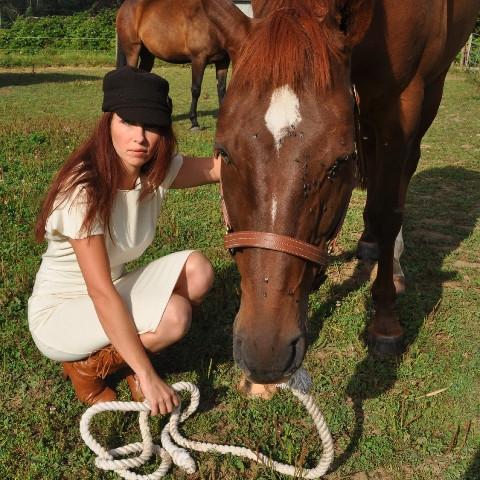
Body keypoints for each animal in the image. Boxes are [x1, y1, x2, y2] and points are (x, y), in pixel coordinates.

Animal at [116, 0, 229, 129]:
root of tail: (124, 6)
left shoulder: (223, 61)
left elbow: (221, 88)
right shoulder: (198, 59)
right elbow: (196, 89)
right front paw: (194, 122)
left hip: (148, 55)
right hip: (133, 50)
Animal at [200, 0, 480, 384]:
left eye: (339, 162)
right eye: (224, 153)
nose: (265, 354)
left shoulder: (402, 100)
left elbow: (387, 210)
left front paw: (385, 321)